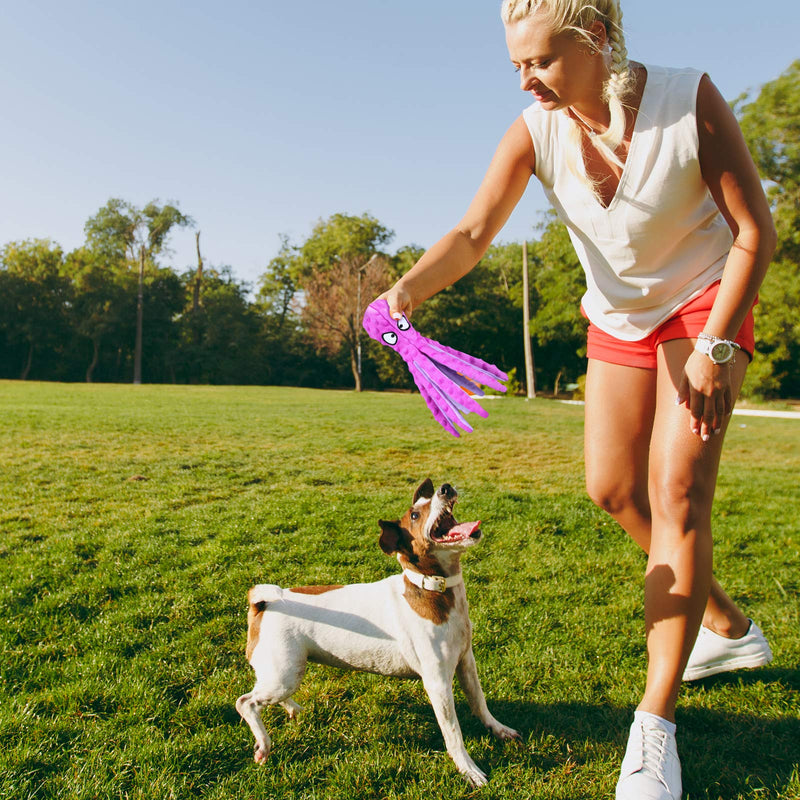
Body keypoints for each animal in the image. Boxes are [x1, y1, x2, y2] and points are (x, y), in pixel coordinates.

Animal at [236, 478, 520, 784]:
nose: (445, 487)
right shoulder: (437, 682)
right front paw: (468, 769)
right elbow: (453, 733)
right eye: (415, 515)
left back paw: (293, 709)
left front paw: (499, 729)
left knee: (269, 696)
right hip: (284, 673)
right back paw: (263, 744)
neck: (432, 589)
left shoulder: (466, 662)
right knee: (246, 703)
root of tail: (265, 602)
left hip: (284, 673)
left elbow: (480, 702)